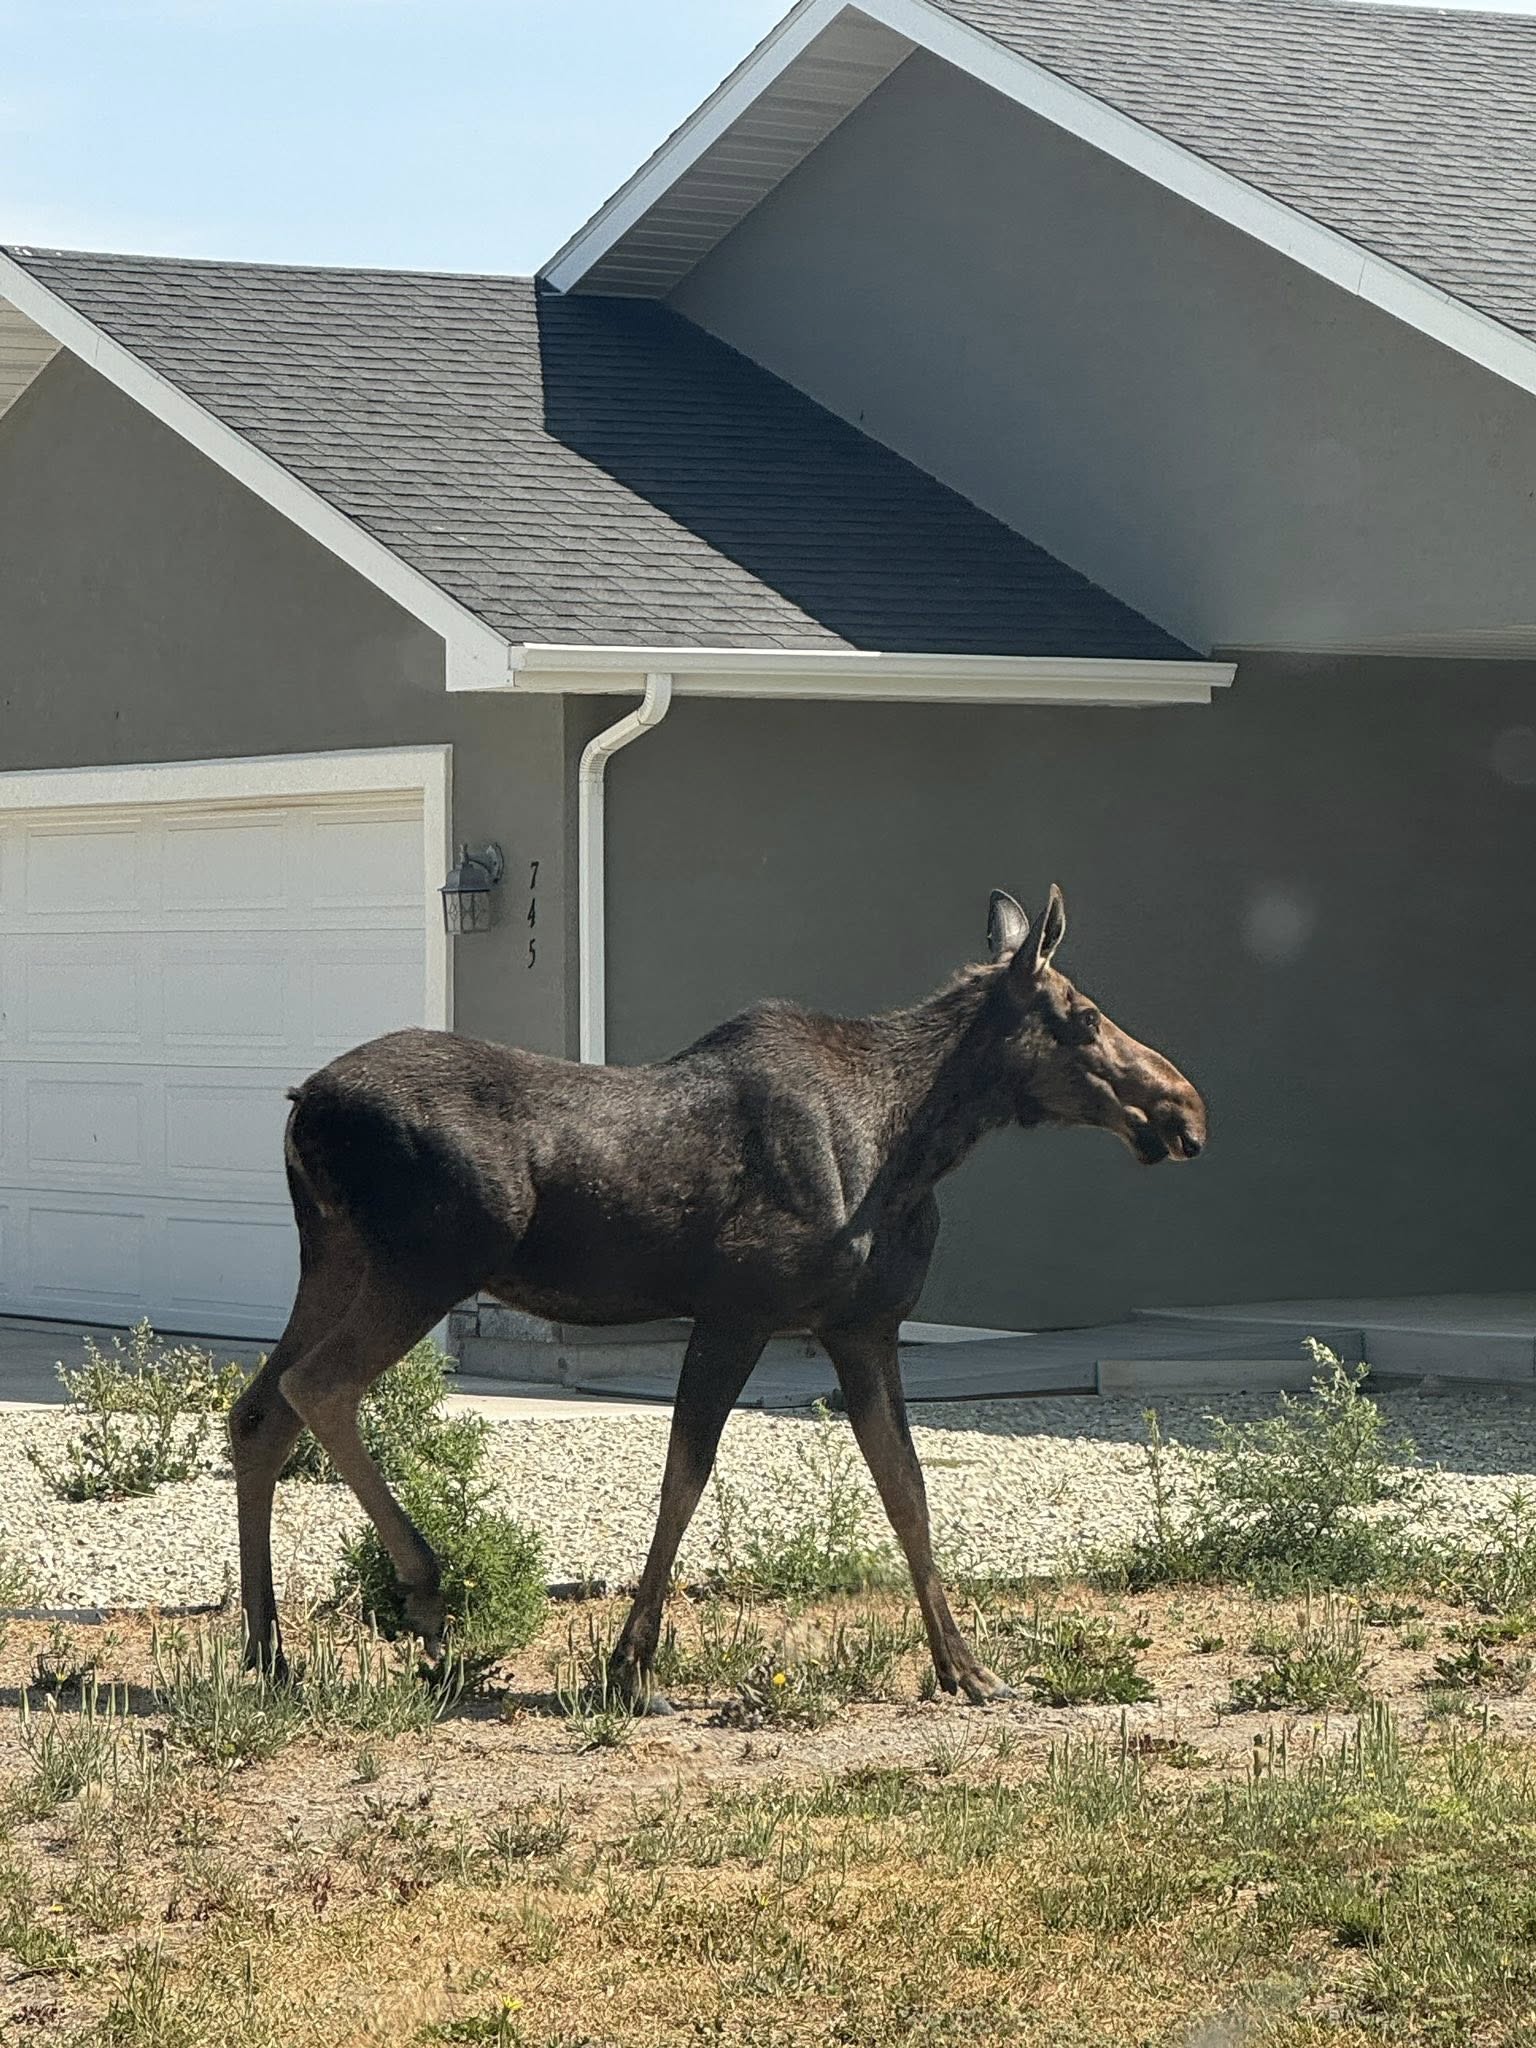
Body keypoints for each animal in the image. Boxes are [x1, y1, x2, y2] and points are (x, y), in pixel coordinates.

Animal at [229, 885, 1207, 1706]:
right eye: (1082, 1016)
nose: (1186, 1110)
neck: (910, 1148)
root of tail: (300, 1104)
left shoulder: (864, 1327)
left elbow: (907, 1491)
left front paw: (965, 1668)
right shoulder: (740, 1311)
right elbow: (686, 1478)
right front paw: (629, 1667)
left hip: (336, 1259)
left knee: (258, 1410)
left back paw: (270, 1652)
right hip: (428, 1261)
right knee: (317, 1386)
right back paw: (424, 1597)